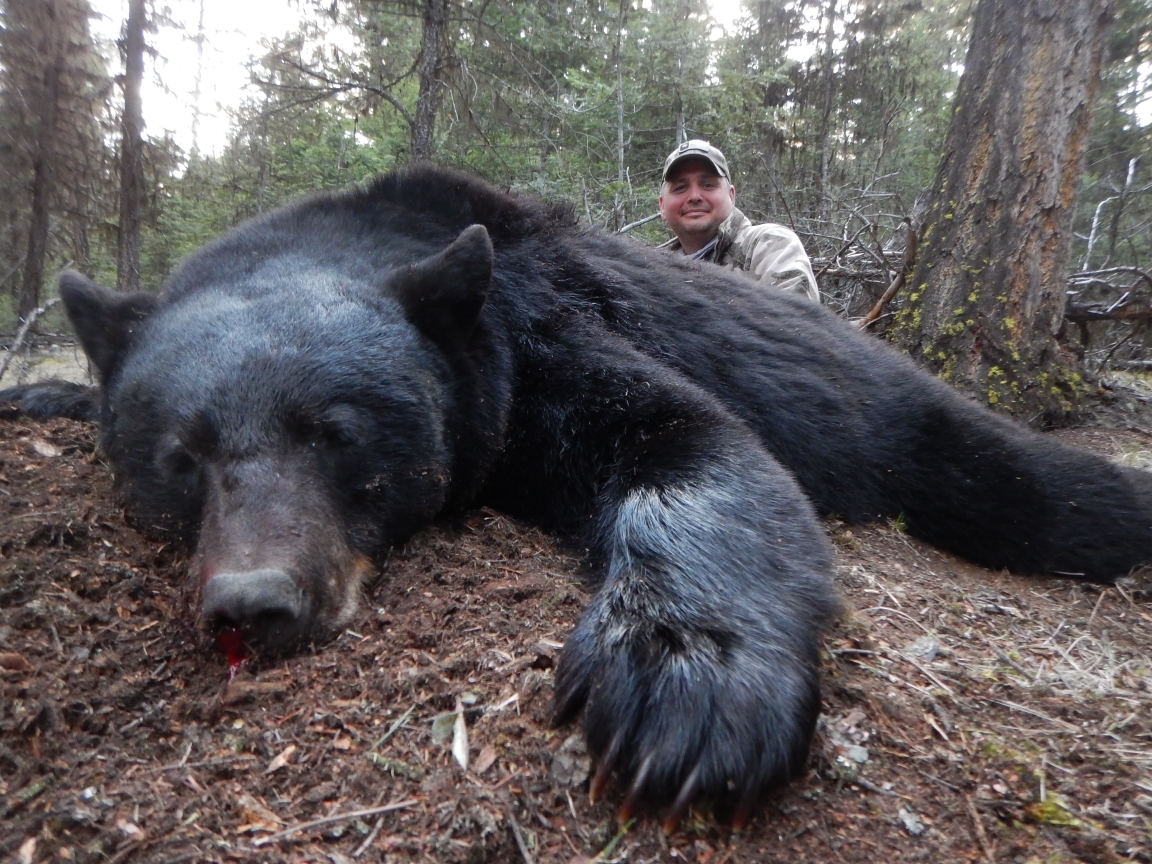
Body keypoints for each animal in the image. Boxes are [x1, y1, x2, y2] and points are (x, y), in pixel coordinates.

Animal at [2, 165, 1152, 829]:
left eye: (333, 433)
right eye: (180, 456)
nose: (254, 601)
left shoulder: (535, 333)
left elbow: (689, 441)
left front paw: (686, 683)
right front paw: (39, 389)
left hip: (924, 428)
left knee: (1045, 490)